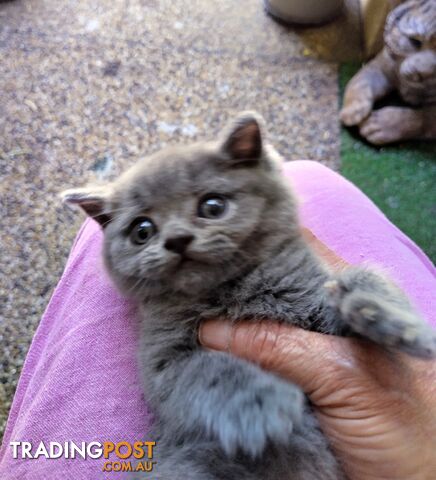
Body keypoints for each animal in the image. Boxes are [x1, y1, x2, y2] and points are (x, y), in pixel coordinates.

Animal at [63, 110, 434, 478]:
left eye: (213, 206)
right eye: (142, 231)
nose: (178, 239)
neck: (233, 290)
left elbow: (364, 277)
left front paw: (395, 321)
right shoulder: (162, 360)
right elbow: (211, 367)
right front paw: (262, 406)